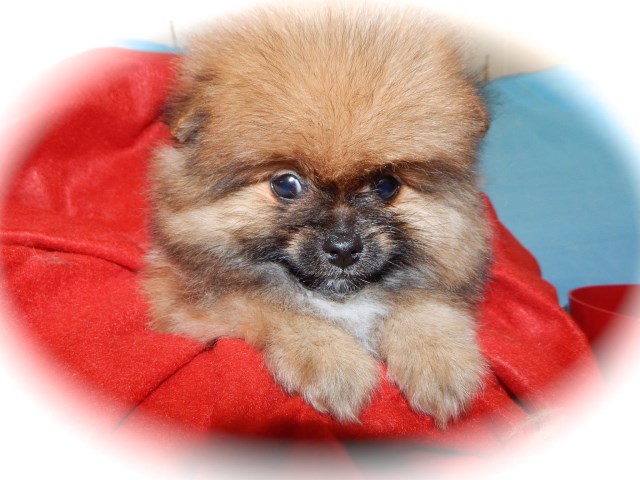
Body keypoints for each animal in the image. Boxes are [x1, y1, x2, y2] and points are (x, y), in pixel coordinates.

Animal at [142, 3, 491, 428]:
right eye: (286, 184)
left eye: (386, 185)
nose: (343, 248)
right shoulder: (190, 299)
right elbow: (276, 305)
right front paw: (335, 363)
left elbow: (421, 302)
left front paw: (438, 357)